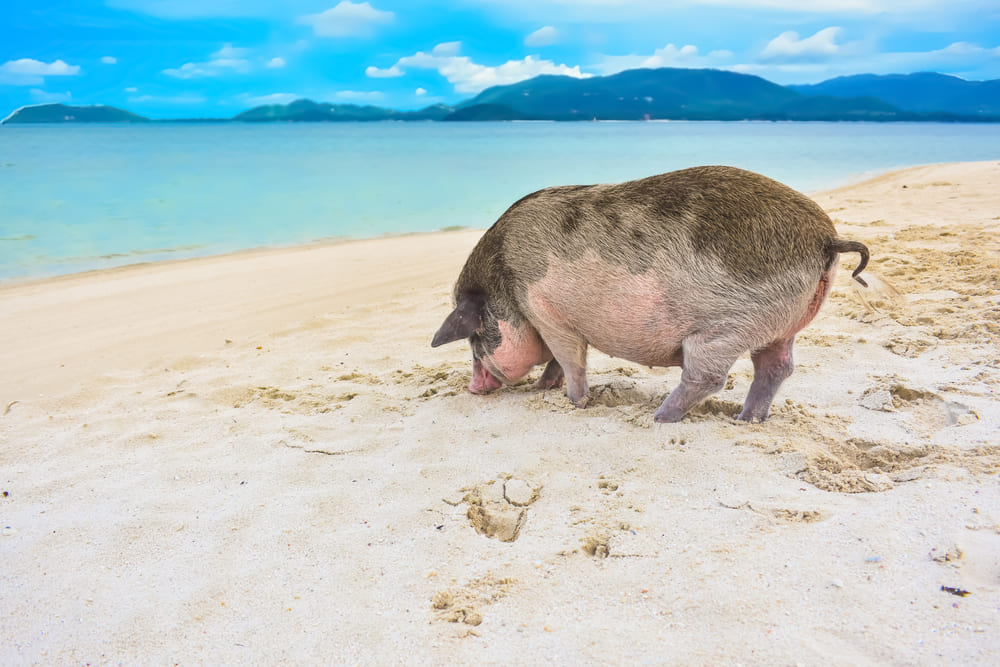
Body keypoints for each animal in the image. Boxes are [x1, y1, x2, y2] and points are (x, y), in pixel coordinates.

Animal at [430, 170, 868, 426]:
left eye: (474, 338)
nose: (473, 388)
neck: (507, 288)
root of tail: (826, 237)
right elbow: (556, 360)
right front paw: (542, 389)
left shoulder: (549, 314)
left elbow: (570, 361)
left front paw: (573, 403)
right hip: (780, 327)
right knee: (776, 369)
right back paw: (747, 421)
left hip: (725, 329)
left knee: (708, 376)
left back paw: (659, 417)